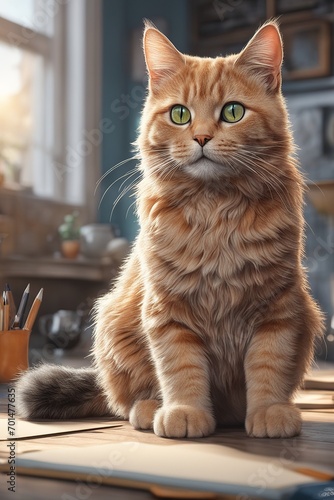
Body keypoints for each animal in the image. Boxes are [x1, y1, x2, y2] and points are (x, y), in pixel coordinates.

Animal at [16, 21, 324, 438]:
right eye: (180, 114)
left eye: (233, 112)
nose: (202, 138)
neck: (215, 211)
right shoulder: (168, 312)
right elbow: (181, 369)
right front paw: (184, 412)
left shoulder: (278, 311)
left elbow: (268, 367)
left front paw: (269, 412)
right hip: (114, 324)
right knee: (126, 399)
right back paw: (149, 409)